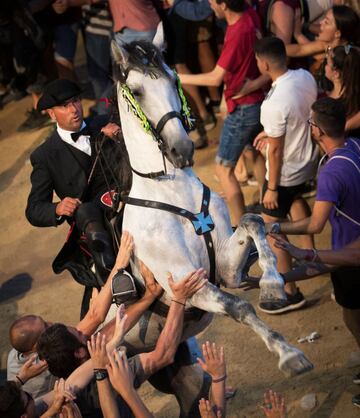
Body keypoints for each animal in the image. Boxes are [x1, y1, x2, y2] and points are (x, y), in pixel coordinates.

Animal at [111, 26, 314, 414]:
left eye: (174, 79)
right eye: (138, 91)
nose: (182, 149)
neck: (173, 192)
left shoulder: (227, 267)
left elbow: (252, 220)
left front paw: (272, 286)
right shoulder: (188, 285)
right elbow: (238, 305)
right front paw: (290, 356)